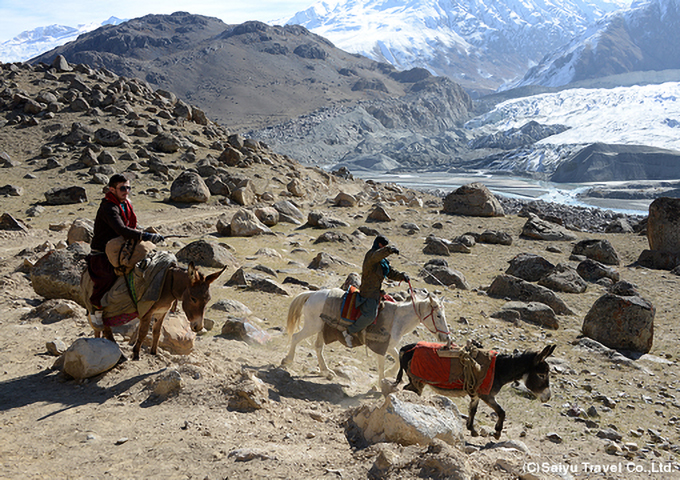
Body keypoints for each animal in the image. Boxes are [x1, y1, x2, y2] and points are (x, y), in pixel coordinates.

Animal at [83, 260, 226, 358]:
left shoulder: (162, 312)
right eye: (193, 298)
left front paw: (154, 352)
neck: (168, 285)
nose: (198, 327)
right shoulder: (147, 312)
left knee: (99, 329)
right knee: (104, 328)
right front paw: (136, 354)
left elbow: (157, 332)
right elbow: (143, 332)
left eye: (208, 300)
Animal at [278, 286, 448, 384]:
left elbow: (397, 358)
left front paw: (388, 375)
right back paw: (287, 360)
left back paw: (327, 372)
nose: (446, 338)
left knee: (318, 347)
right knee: (296, 337)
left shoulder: (389, 346)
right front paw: (381, 383)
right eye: (439, 315)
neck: (398, 319)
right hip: (312, 326)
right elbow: (382, 365)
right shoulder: (380, 346)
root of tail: (313, 294)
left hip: (321, 328)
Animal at [388, 342, 552, 438]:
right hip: (417, 381)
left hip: (417, 381)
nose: (548, 397)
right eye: (542, 374)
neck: (499, 369)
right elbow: (501, 412)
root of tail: (404, 348)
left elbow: (472, 410)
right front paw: (497, 432)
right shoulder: (487, 395)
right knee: (408, 390)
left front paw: (471, 429)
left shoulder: (476, 394)